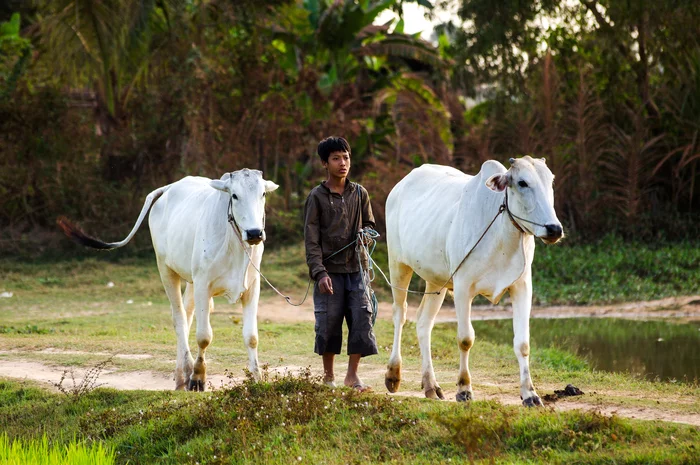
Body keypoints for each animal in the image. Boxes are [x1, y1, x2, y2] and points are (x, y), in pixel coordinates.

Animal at [58, 169, 278, 390]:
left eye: (263, 194)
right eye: (234, 195)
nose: (254, 233)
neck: (235, 244)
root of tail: (170, 187)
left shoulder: (252, 287)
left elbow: (251, 337)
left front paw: (257, 379)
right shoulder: (203, 285)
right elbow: (204, 337)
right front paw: (198, 377)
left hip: (190, 279)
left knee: (186, 315)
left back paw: (183, 371)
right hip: (166, 269)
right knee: (178, 318)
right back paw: (184, 375)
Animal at [382, 157, 564, 406]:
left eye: (551, 181)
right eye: (522, 182)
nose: (554, 229)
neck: (501, 235)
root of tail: (400, 185)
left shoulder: (522, 286)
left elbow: (523, 344)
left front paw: (530, 394)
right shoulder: (462, 287)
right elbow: (465, 339)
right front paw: (464, 389)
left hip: (436, 280)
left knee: (423, 322)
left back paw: (431, 385)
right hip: (398, 265)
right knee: (399, 315)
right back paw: (393, 374)